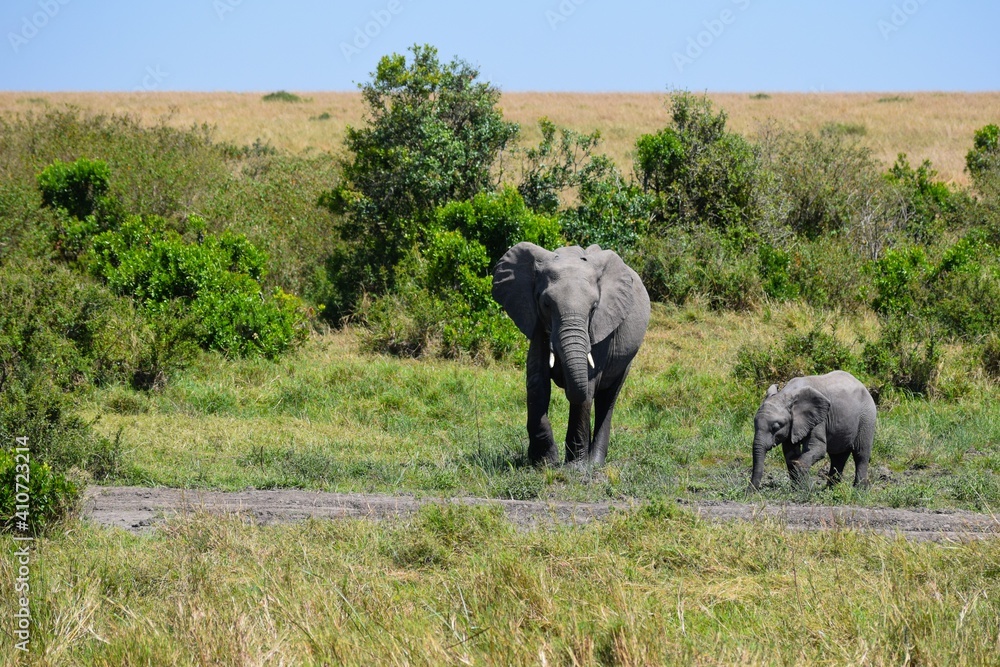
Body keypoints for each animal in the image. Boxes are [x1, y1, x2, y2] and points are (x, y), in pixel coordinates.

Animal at [492, 242, 650, 466]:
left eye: (593, 308)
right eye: (546, 304)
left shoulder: (602, 325)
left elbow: (588, 386)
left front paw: (575, 468)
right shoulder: (536, 319)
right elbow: (537, 382)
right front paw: (544, 462)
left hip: (627, 357)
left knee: (607, 398)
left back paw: (595, 463)